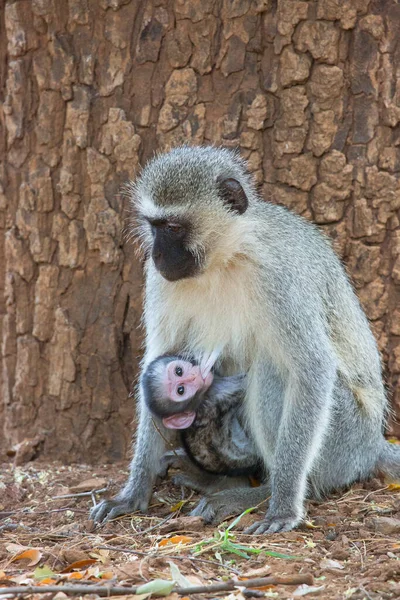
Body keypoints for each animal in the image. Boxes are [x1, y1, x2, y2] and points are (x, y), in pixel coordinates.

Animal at [91, 145, 400, 536]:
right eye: (153, 226)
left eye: (174, 228)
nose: (157, 255)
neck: (226, 257)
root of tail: (373, 444)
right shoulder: (159, 280)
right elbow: (156, 364)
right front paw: (133, 492)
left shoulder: (279, 276)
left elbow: (312, 368)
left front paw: (283, 506)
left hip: (344, 440)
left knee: (274, 369)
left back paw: (265, 492)